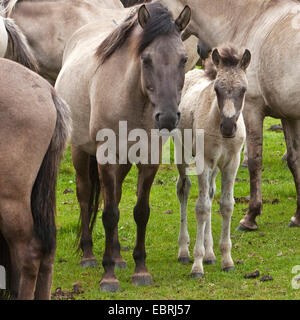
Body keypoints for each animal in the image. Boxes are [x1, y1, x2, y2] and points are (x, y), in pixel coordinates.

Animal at [55, 1, 191, 292]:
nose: (167, 118)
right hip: (81, 153)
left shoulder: (148, 159)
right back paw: (89, 256)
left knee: (114, 195)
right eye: (146, 59)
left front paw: (141, 270)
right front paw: (108, 276)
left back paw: (118, 257)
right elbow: (108, 214)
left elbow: (140, 212)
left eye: (183, 59)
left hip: (124, 161)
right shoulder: (105, 157)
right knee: (85, 197)